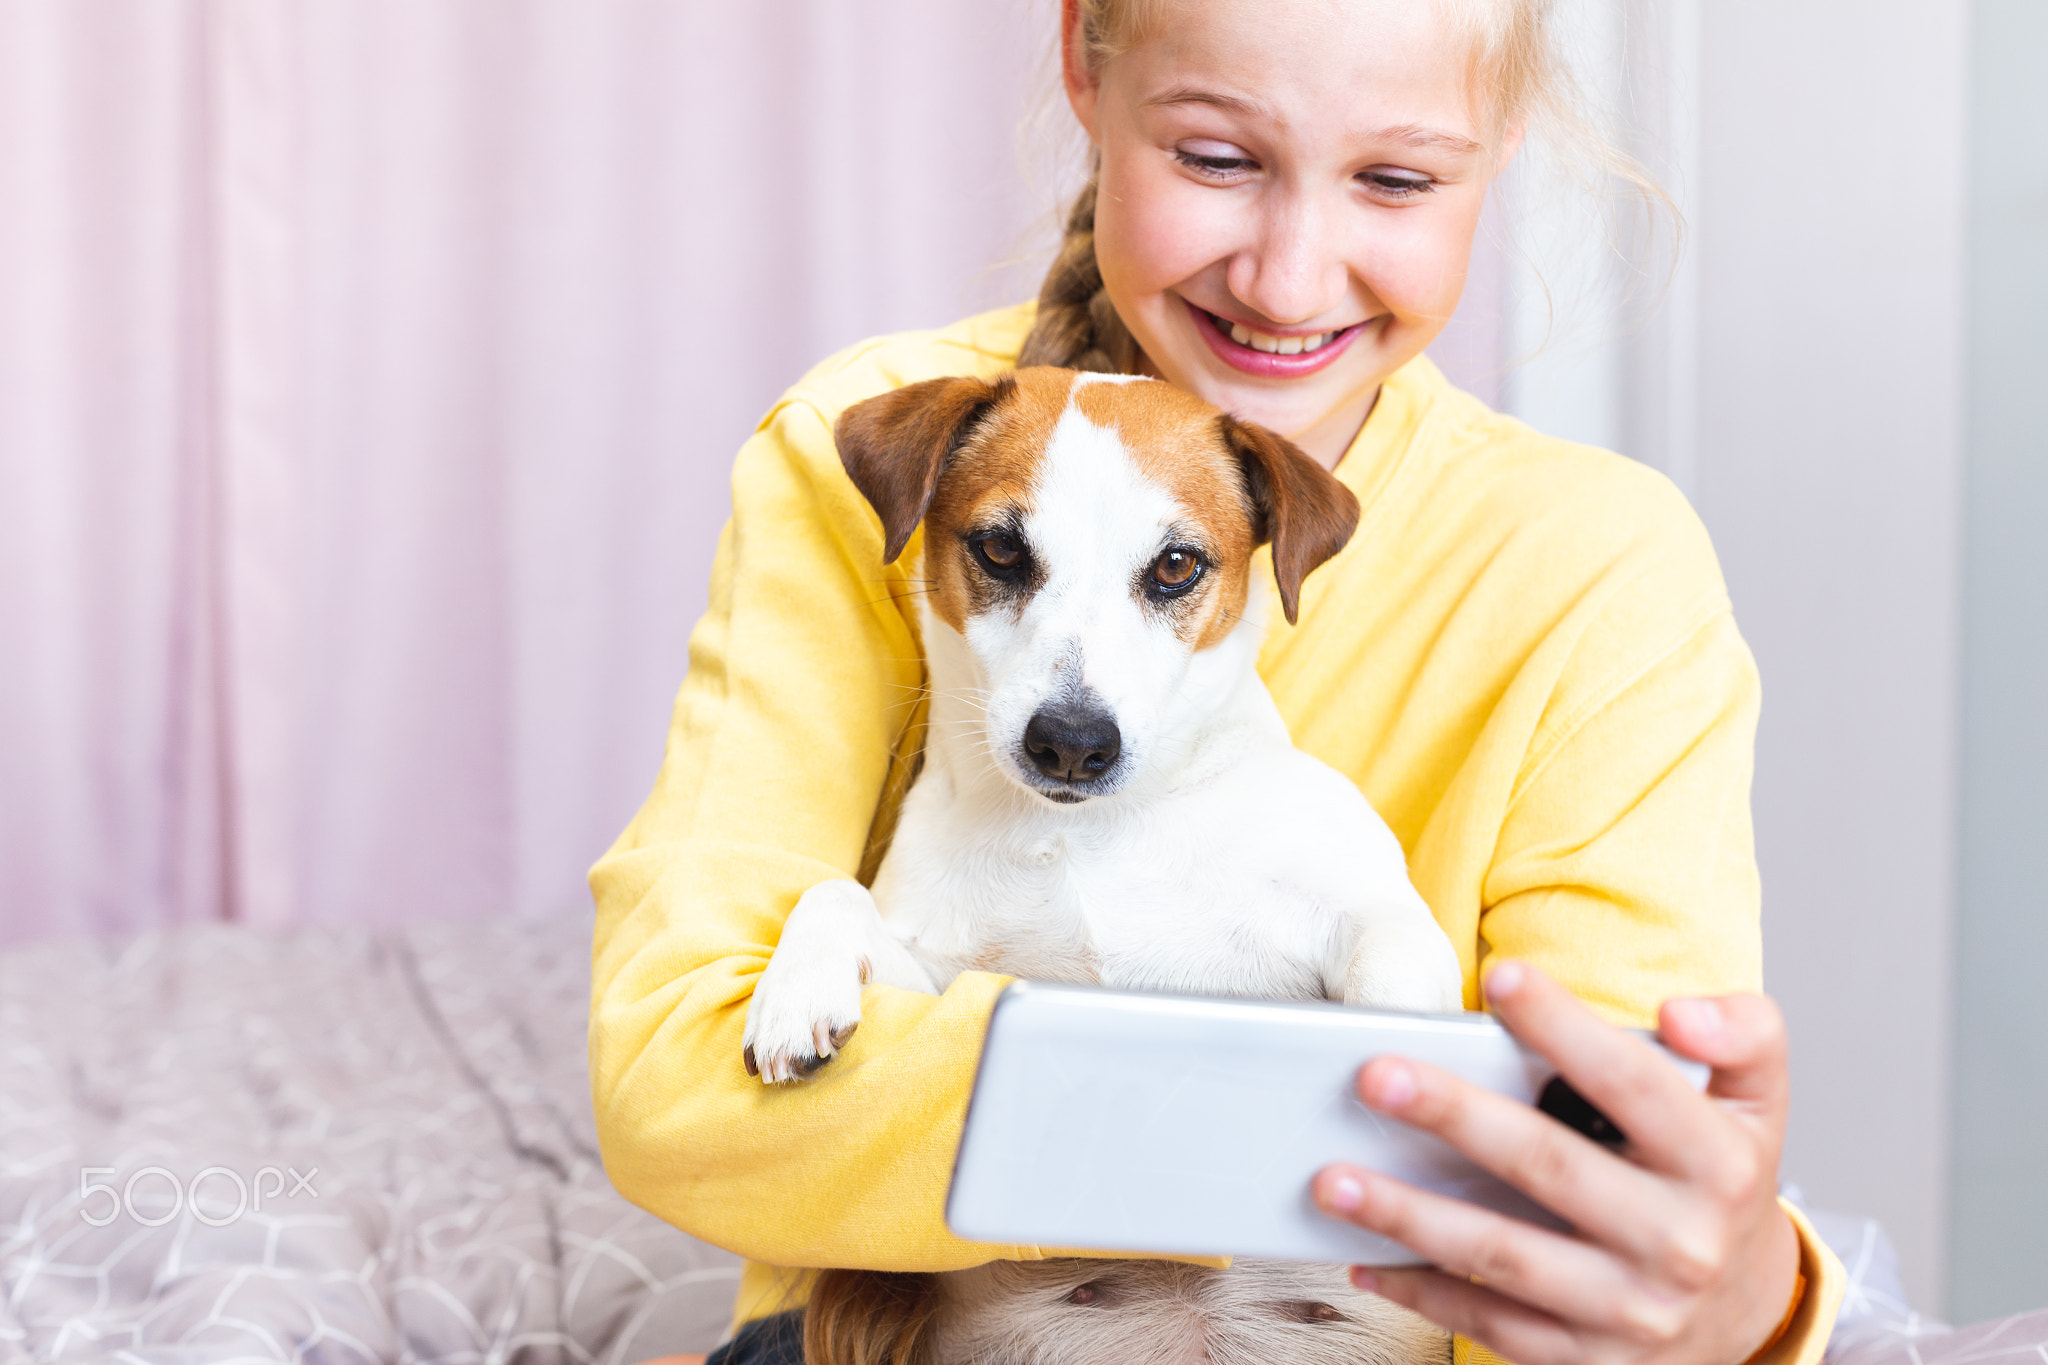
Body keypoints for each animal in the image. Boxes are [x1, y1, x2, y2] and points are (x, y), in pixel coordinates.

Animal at [745, 368, 1466, 1365]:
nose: (1073, 741)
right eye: (1001, 548)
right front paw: (797, 988)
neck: (1095, 834)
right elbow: (833, 893)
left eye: (1176, 566)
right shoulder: (937, 990)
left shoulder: (1370, 913)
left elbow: (1392, 958)